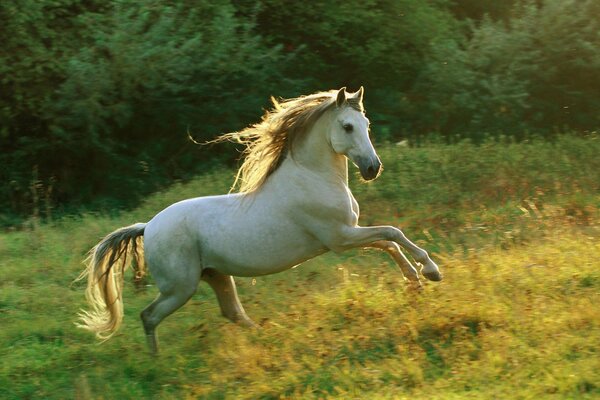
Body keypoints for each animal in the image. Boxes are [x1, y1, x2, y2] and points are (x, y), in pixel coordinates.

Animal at [78, 86, 440, 354]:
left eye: (366, 126)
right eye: (347, 127)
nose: (372, 168)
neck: (312, 177)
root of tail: (147, 227)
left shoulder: (347, 235)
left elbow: (389, 242)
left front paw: (416, 281)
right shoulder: (340, 237)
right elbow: (392, 233)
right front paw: (431, 271)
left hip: (215, 275)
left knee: (232, 312)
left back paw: (270, 336)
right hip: (180, 287)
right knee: (149, 316)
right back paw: (158, 362)